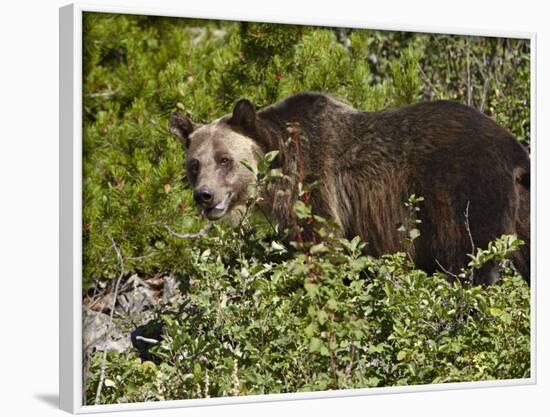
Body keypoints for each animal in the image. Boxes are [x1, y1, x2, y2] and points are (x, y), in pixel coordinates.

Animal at [170, 92, 532, 284]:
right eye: (195, 163)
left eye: (225, 160)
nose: (204, 196)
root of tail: (513, 148)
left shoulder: (313, 185)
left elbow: (321, 245)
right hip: (524, 204)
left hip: (464, 195)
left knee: (469, 258)